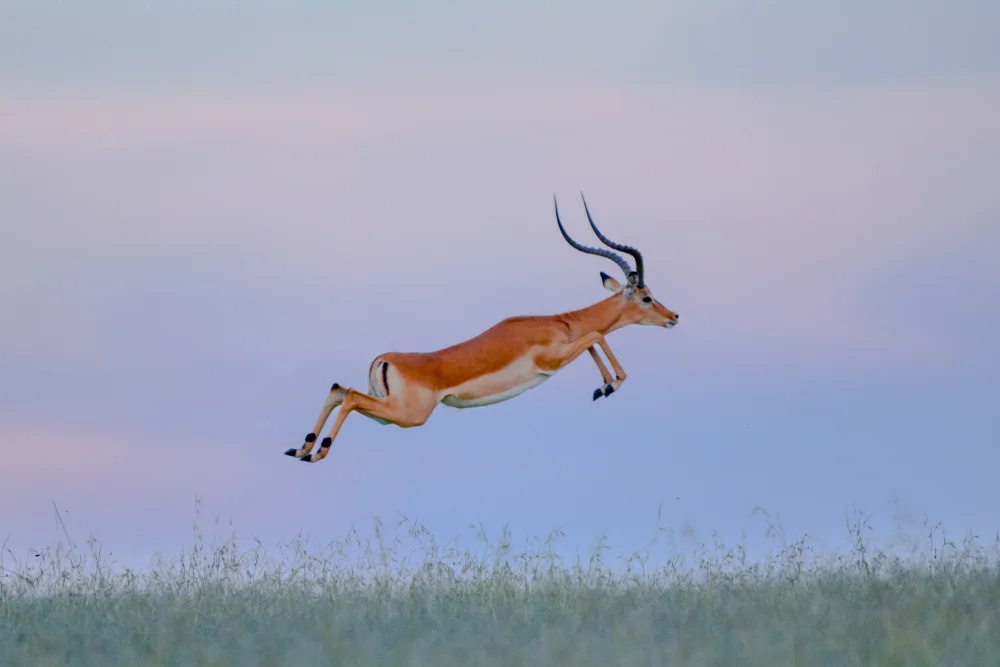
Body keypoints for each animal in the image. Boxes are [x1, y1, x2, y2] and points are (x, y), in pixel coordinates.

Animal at [286, 193, 679, 463]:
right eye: (646, 297)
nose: (673, 316)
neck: (559, 322)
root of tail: (384, 359)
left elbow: (592, 339)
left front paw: (603, 388)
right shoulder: (552, 360)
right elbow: (595, 335)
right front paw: (609, 386)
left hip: (387, 413)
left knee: (339, 389)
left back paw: (302, 449)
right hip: (407, 415)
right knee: (350, 395)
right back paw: (316, 451)